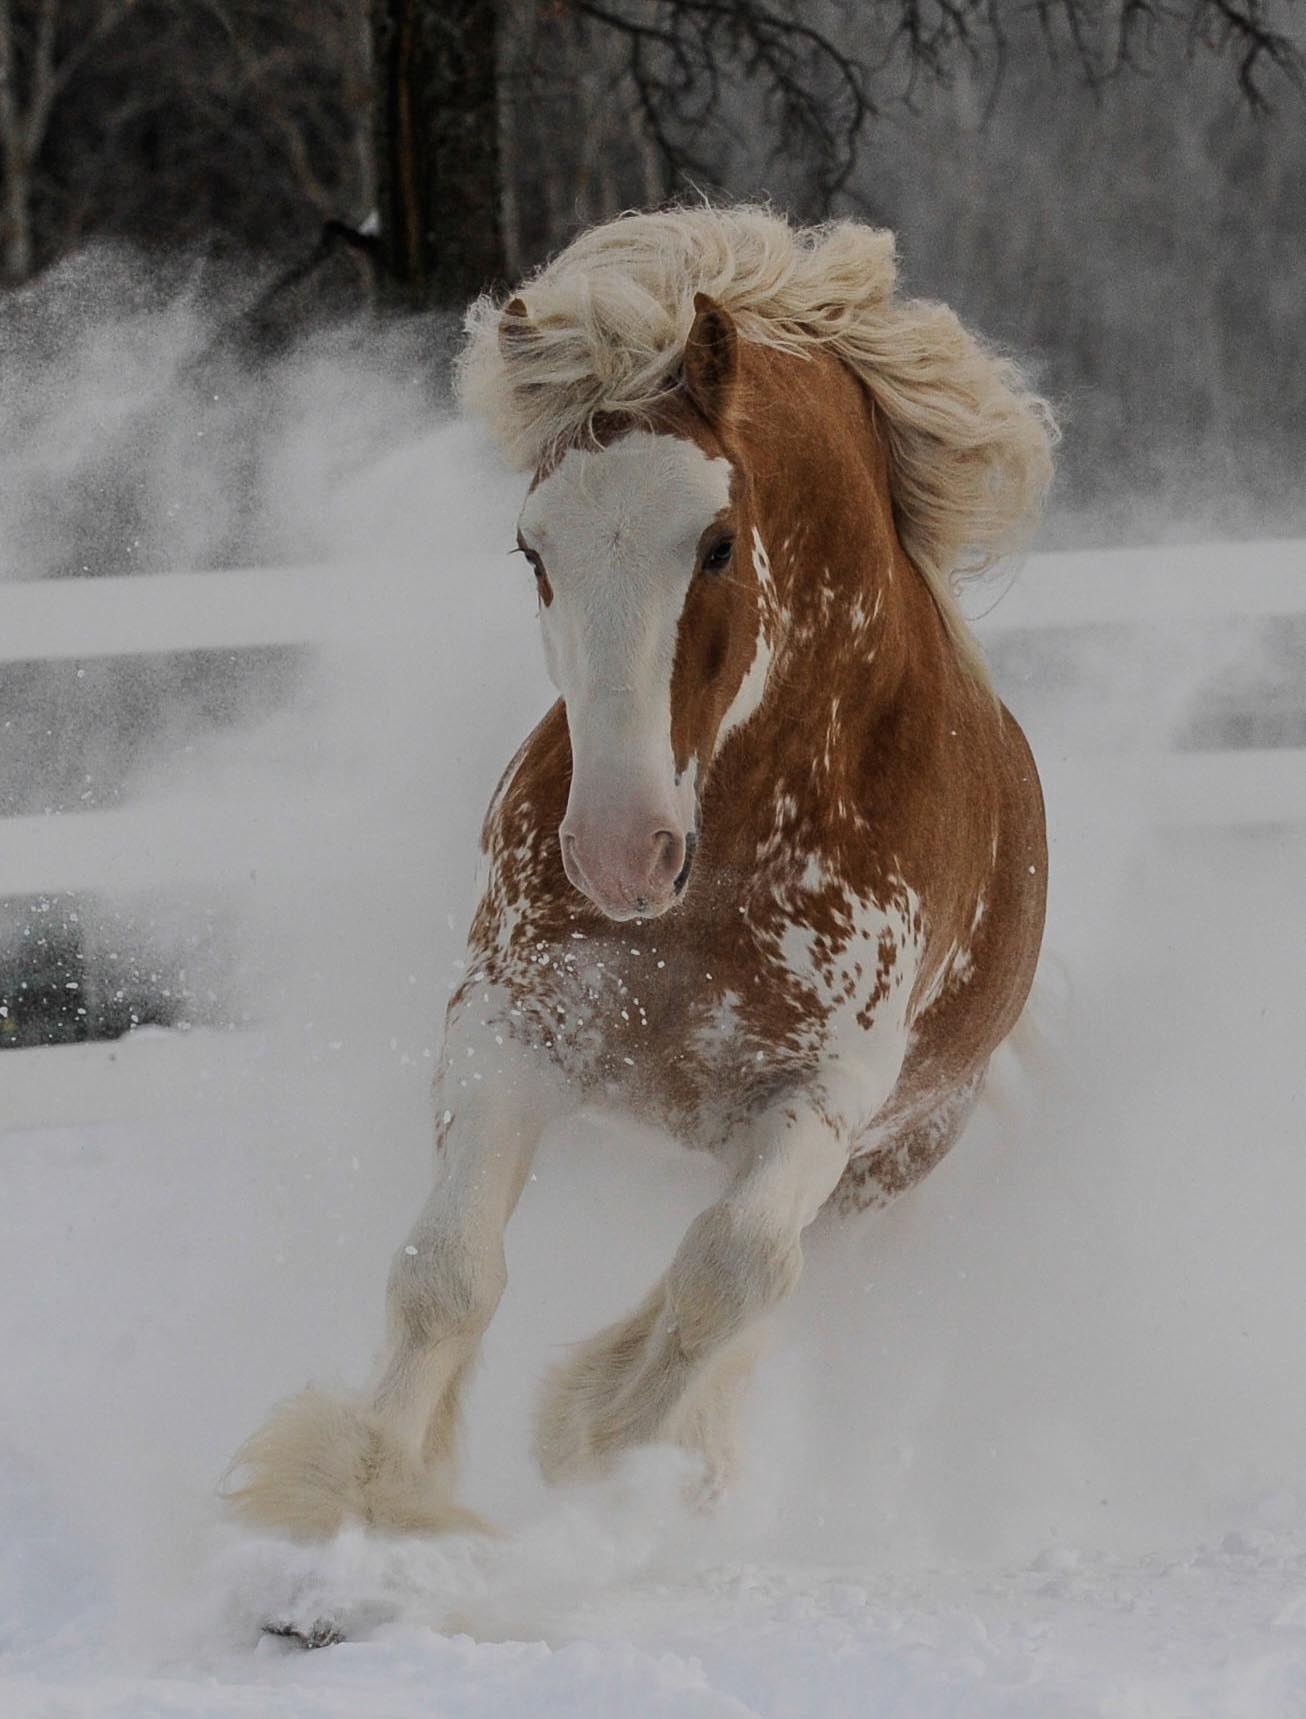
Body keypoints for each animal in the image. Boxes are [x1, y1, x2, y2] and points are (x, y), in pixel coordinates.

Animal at [226, 204, 1051, 1581]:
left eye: (714, 544)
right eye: (533, 545)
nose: (618, 852)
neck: (725, 866)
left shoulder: (822, 1095)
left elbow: (732, 1273)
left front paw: (617, 1465)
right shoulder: (509, 1030)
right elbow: (444, 1268)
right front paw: (354, 1520)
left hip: (884, 1174)